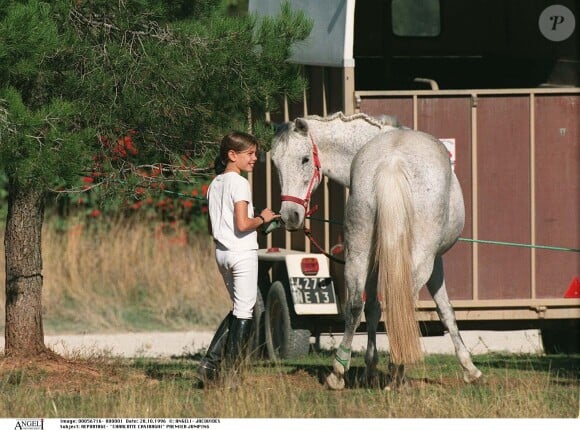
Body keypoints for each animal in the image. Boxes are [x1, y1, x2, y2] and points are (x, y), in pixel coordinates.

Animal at [272, 111, 484, 390]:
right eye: (276, 164)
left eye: (305, 159)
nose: (289, 216)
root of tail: (391, 162)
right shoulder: (436, 260)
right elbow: (445, 310)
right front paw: (470, 368)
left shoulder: (375, 259)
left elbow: (371, 307)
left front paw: (369, 369)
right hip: (419, 261)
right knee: (401, 305)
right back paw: (397, 371)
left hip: (359, 253)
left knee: (355, 305)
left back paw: (338, 373)